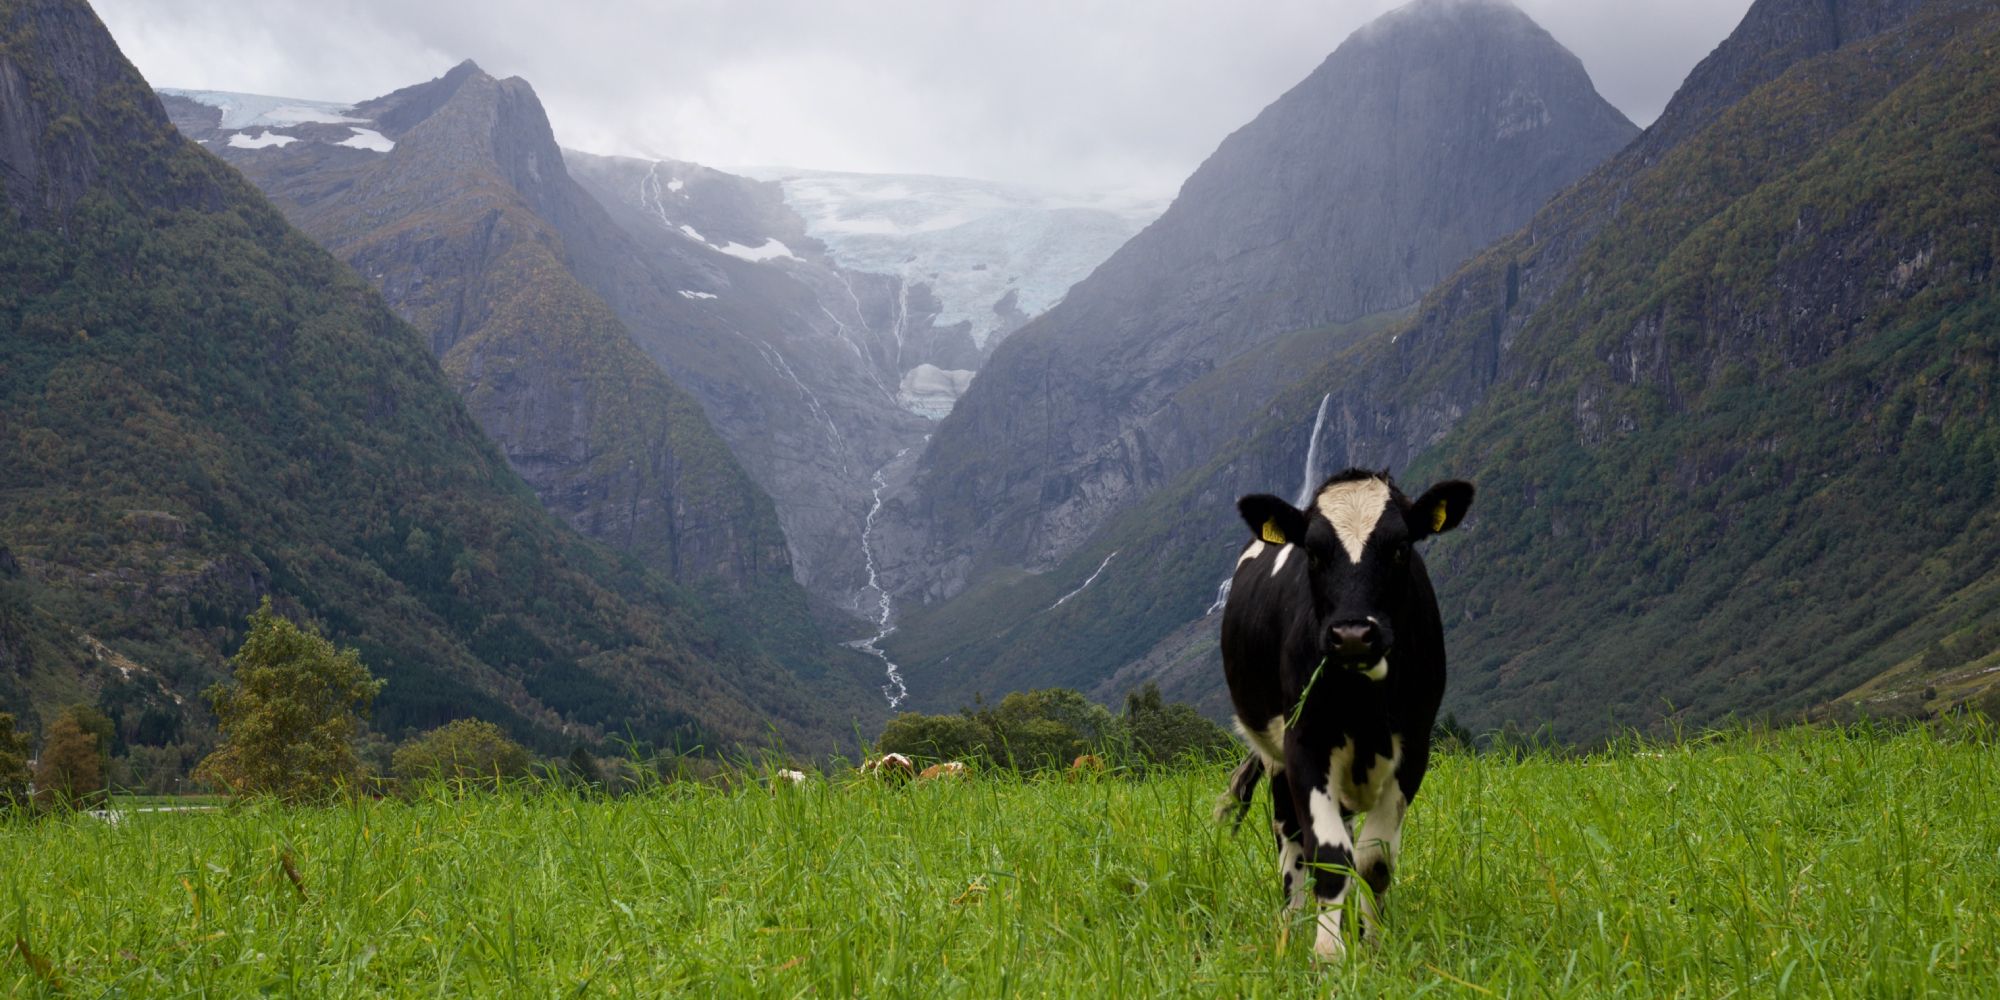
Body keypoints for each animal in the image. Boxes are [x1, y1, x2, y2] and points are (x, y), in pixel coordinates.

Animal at [1217, 468, 1473, 961]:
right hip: (1276, 755)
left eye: (1400, 547)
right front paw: (1327, 950)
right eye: (1313, 552)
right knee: (1290, 835)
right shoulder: (1305, 741)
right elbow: (1330, 855)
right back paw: (1293, 922)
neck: (1363, 702)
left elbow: (1373, 860)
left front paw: (1372, 943)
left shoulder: (1415, 746)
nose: (1353, 634)